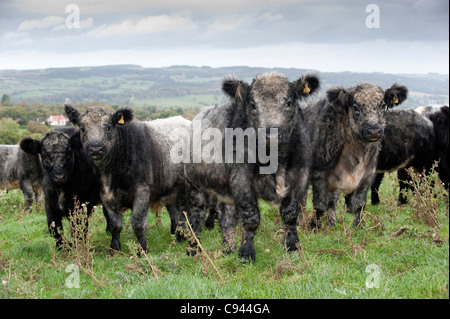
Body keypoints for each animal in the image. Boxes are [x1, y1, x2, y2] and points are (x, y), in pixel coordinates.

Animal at [306, 82, 408, 228]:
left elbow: (359, 204)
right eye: (355, 107)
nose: (373, 131)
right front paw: (314, 226)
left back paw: (332, 222)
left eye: (383, 105)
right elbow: (319, 205)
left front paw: (358, 225)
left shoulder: (367, 175)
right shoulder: (319, 174)